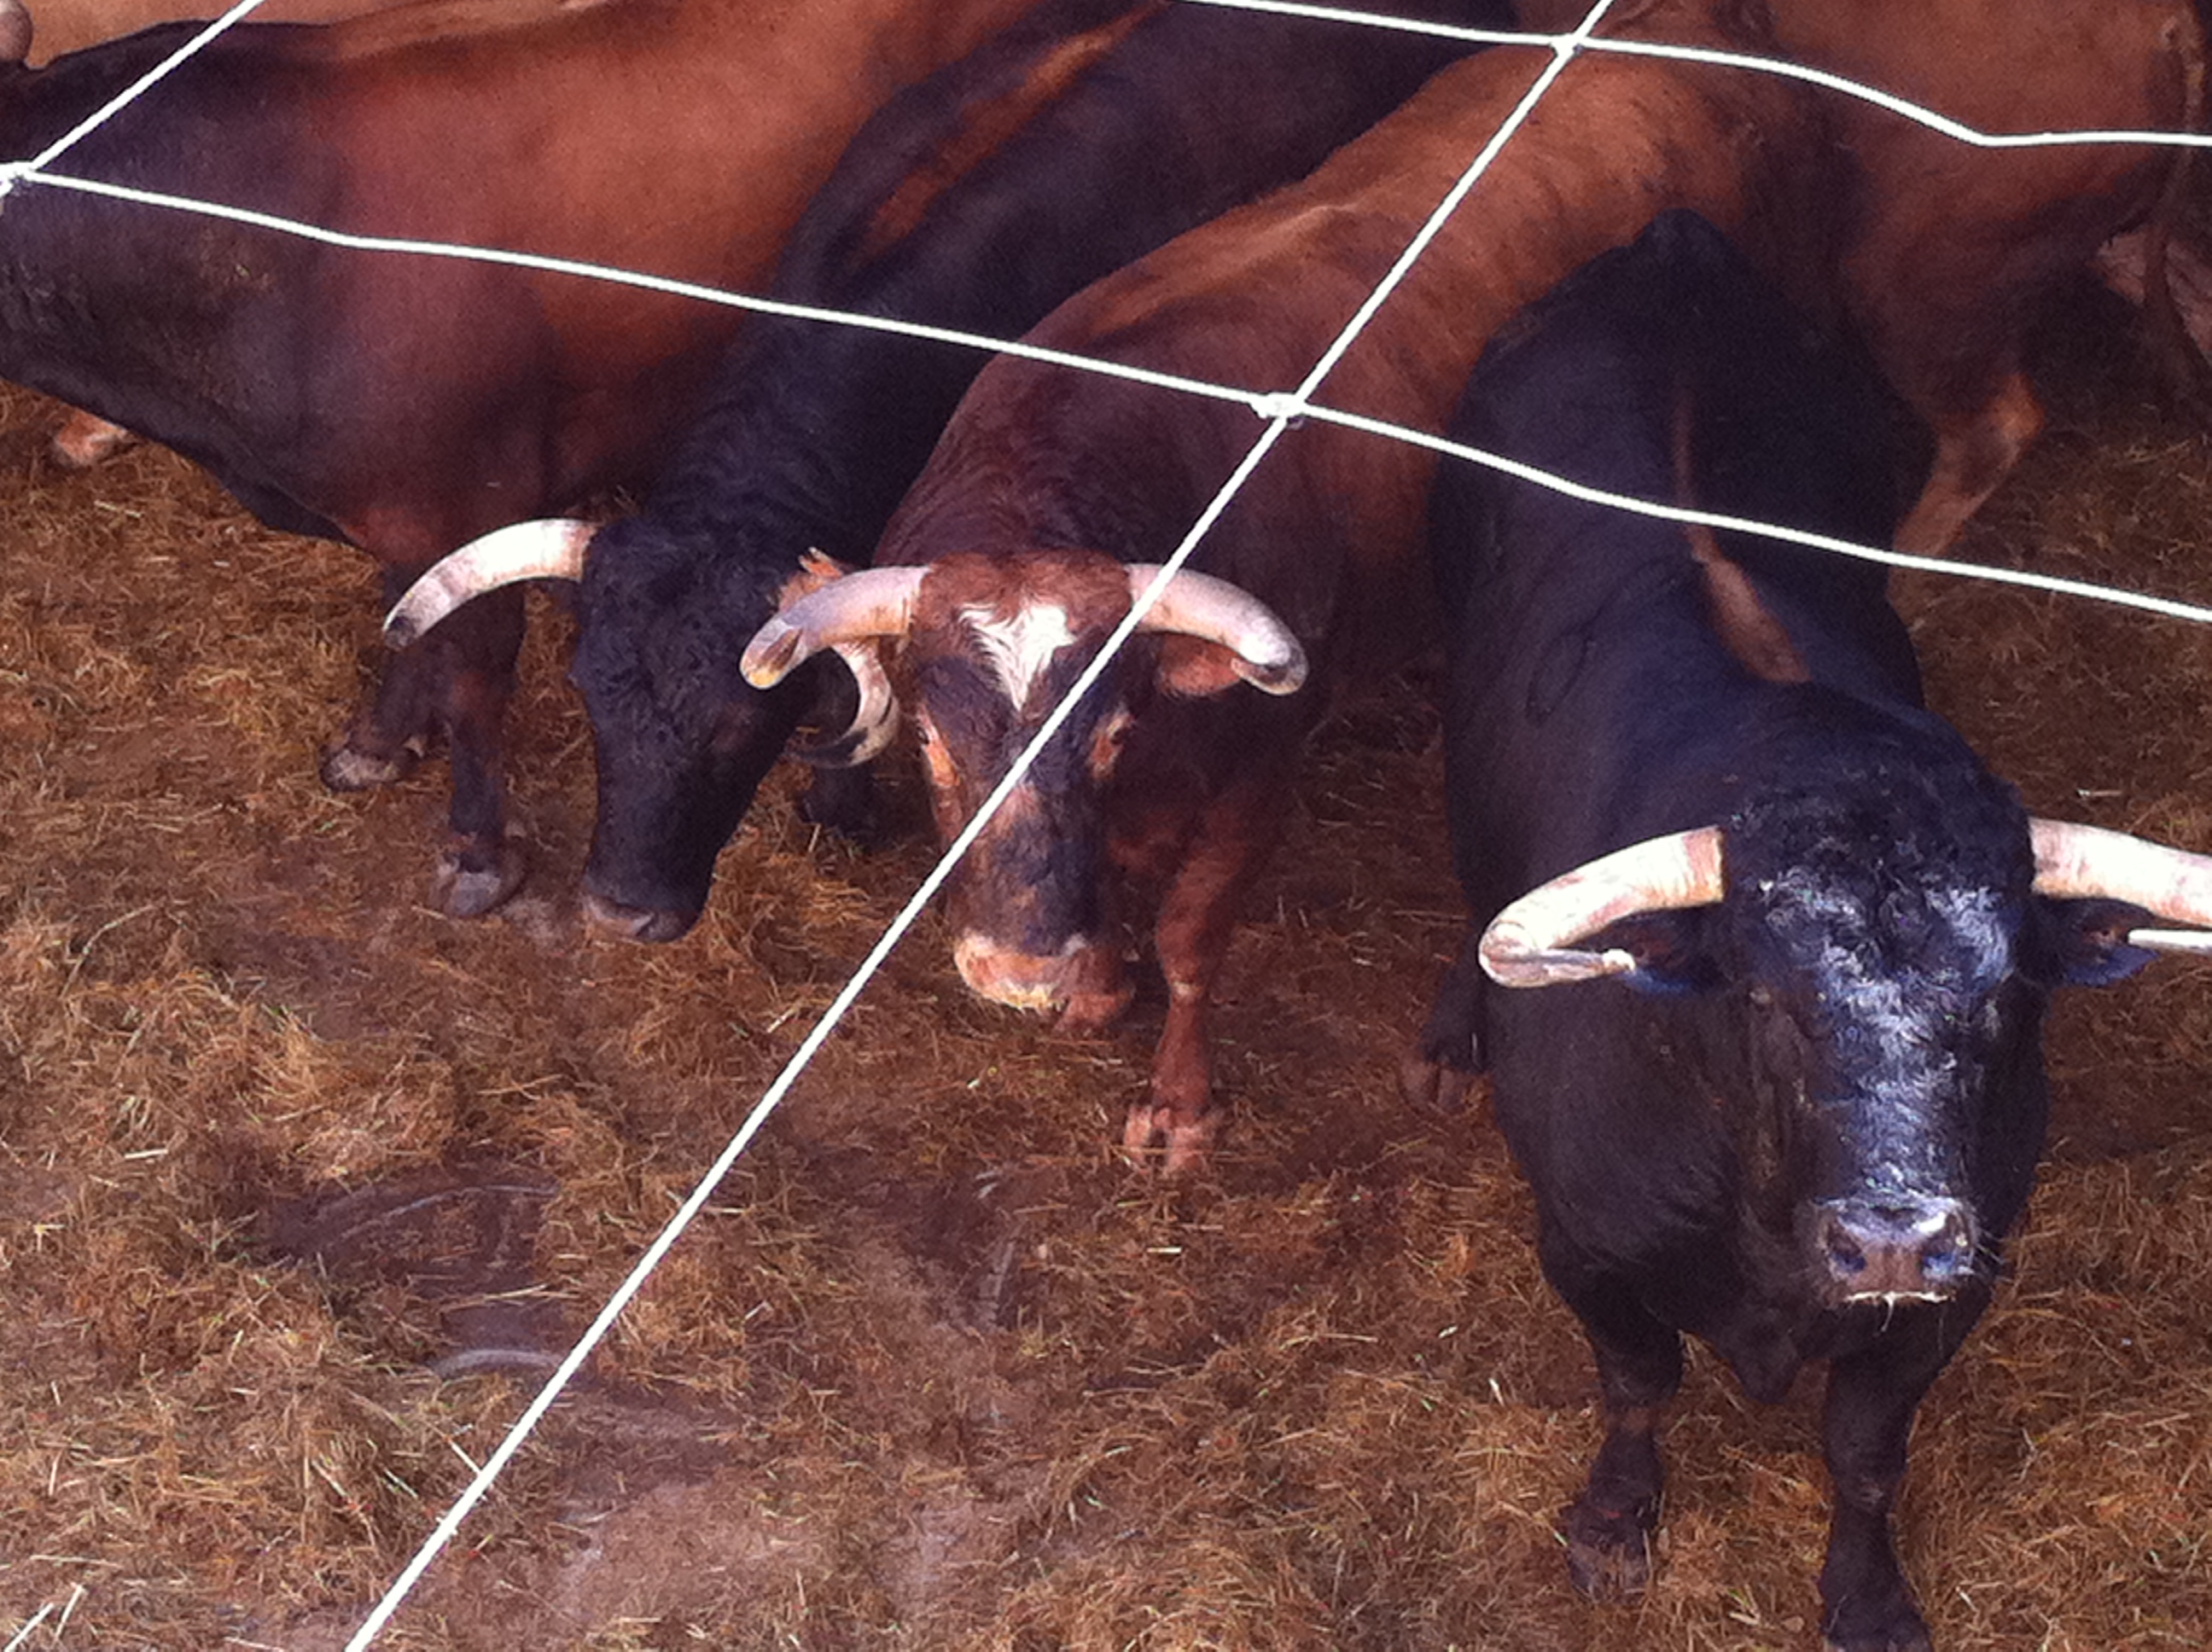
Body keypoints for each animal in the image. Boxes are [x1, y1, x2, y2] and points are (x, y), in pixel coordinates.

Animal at [1406, 213, 2212, 1645]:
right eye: (1768, 998)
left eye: (2006, 998)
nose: (1892, 1234)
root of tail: (1669, 252)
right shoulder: (1583, 1251)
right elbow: (1638, 1385)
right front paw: (1613, 1522)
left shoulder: (1954, 1290)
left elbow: (1866, 1454)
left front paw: (1867, 1593)